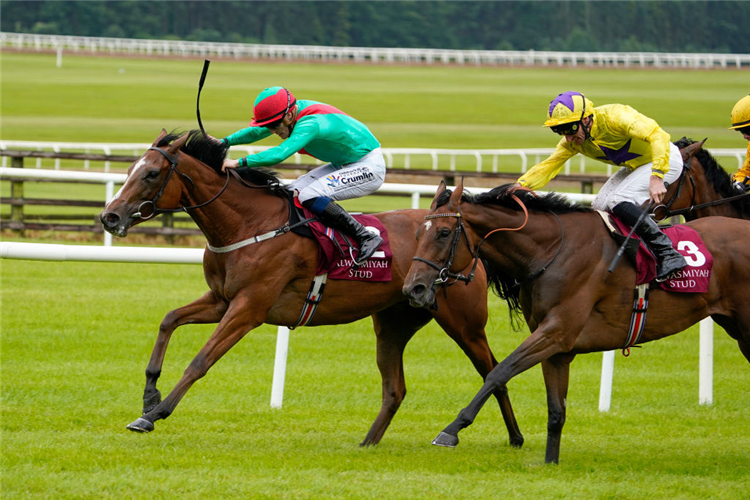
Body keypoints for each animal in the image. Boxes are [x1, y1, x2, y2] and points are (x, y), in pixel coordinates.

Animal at [98, 129, 524, 446]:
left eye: (151, 174)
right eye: (131, 169)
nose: (109, 216)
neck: (248, 224)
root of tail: (470, 238)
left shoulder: (248, 308)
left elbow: (201, 360)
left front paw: (154, 414)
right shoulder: (221, 300)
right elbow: (169, 320)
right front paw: (149, 395)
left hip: (464, 323)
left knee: (493, 371)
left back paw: (510, 438)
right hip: (394, 321)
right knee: (396, 388)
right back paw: (367, 444)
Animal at [402, 180, 750, 464]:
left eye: (444, 233)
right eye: (417, 234)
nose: (413, 288)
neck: (551, 252)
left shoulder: (557, 331)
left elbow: (499, 372)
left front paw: (452, 429)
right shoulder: (557, 348)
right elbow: (556, 409)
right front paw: (550, 462)